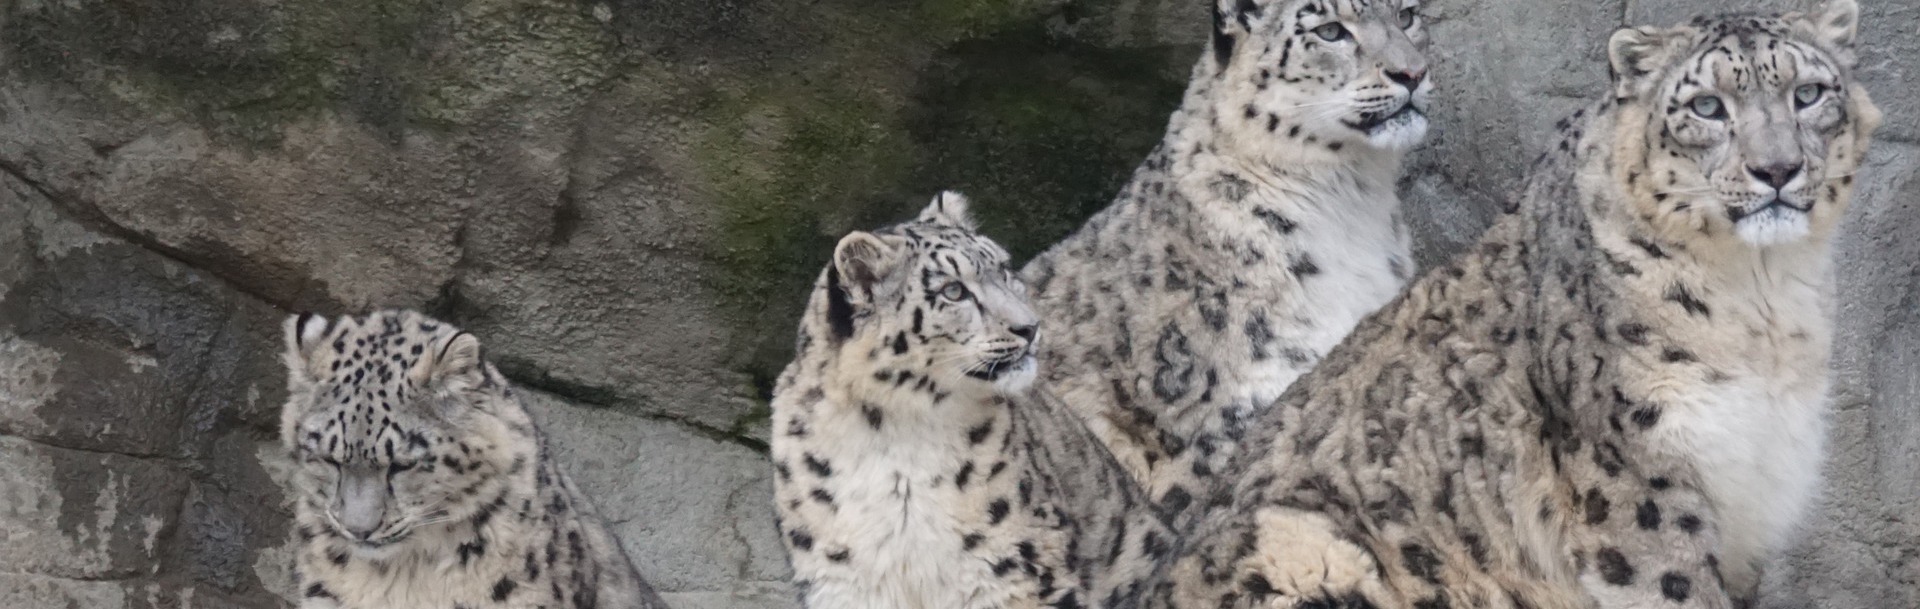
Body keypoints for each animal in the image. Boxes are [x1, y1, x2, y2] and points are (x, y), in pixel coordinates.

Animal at [770, 192, 1178, 609]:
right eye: (953, 291)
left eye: (1004, 269)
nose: (1030, 327)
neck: (893, 438)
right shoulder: (843, 581)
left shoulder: (1013, 567)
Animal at [1139, 1, 1879, 607]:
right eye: (1706, 107)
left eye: (1809, 94)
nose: (1777, 169)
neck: (1764, 303)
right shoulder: (1642, 488)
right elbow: (1671, 585)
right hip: (1298, 541)